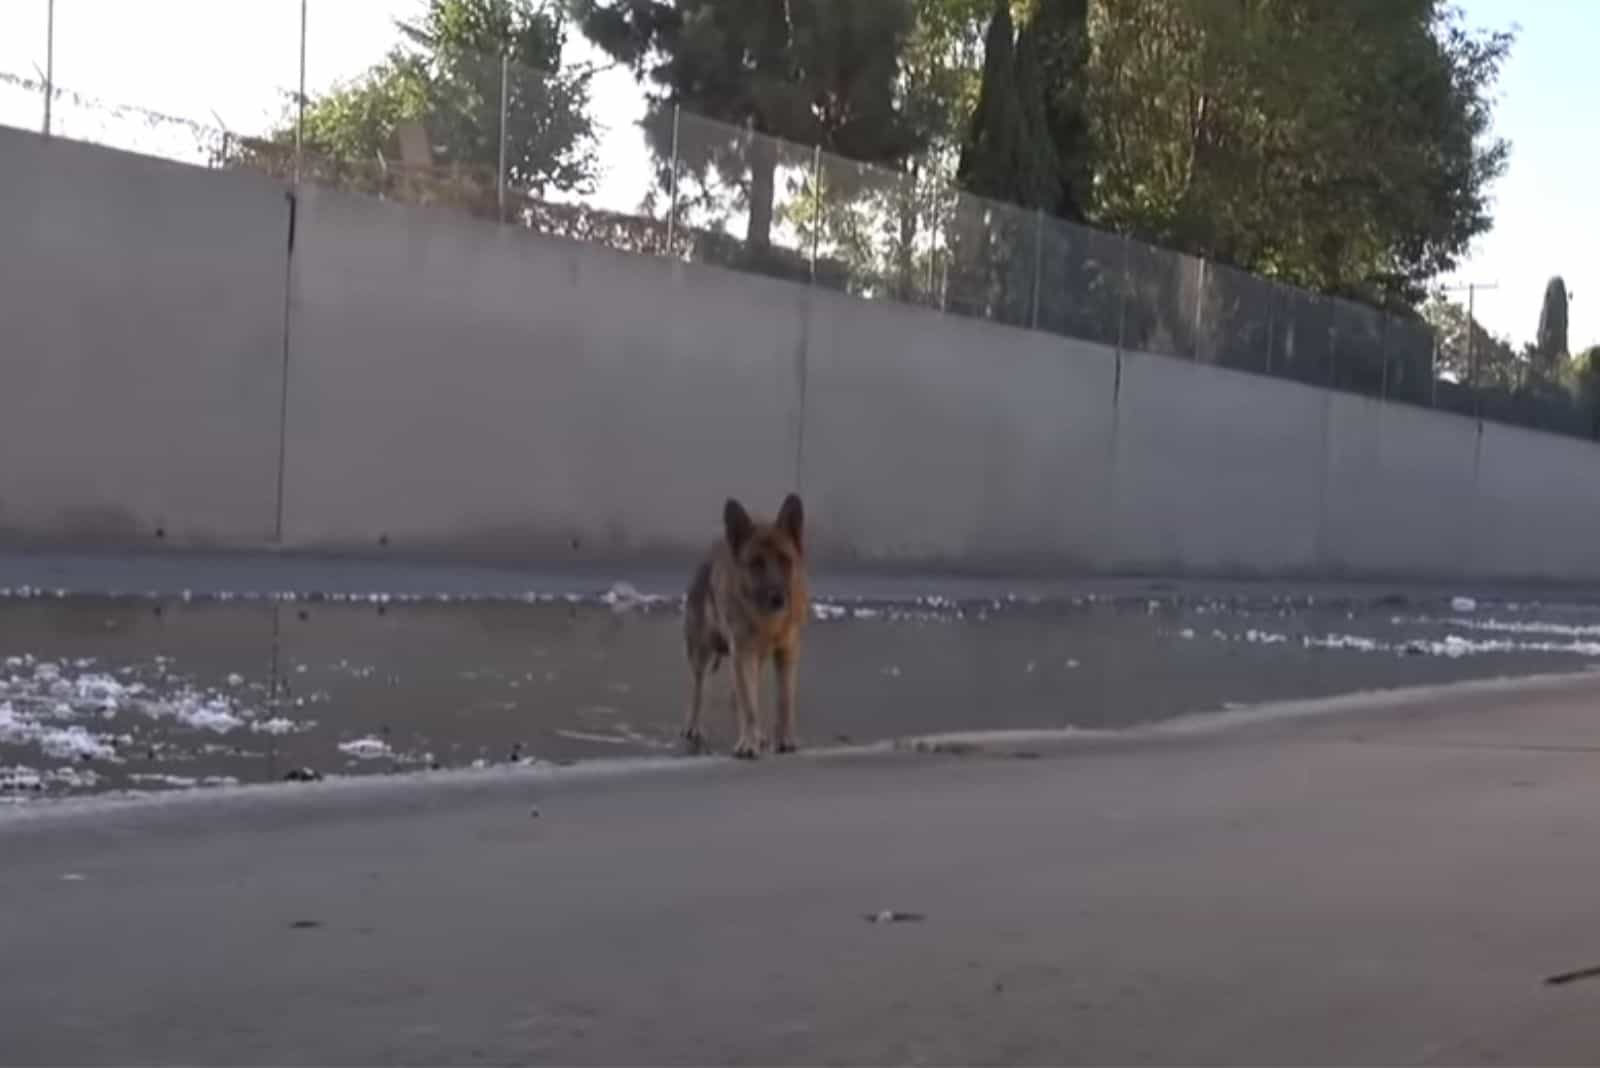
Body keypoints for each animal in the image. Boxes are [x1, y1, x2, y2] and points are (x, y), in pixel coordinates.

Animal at [684, 495, 812, 757]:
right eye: (756, 564)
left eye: (785, 560)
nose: (777, 598)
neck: (768, 623)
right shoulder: (743, 654)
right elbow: (750, 706)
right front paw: (748, 743)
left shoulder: (787, 652)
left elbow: (784, 701)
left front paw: (784, 739)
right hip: (702, 654)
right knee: (699, 690)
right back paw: (694, 725)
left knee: (737, 696)